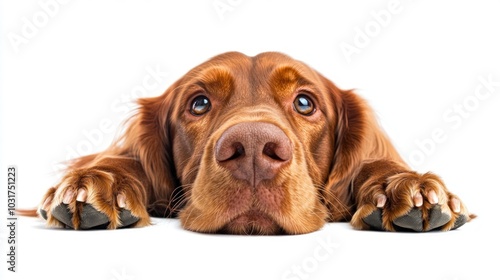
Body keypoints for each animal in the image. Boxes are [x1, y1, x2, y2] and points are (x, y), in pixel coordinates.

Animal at [35, 52, 472, 234]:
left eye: (304, 102)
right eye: (199, 103)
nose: (253, 150)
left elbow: (376, 166)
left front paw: (406, 187)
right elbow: (123, 164)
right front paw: (99, 184)